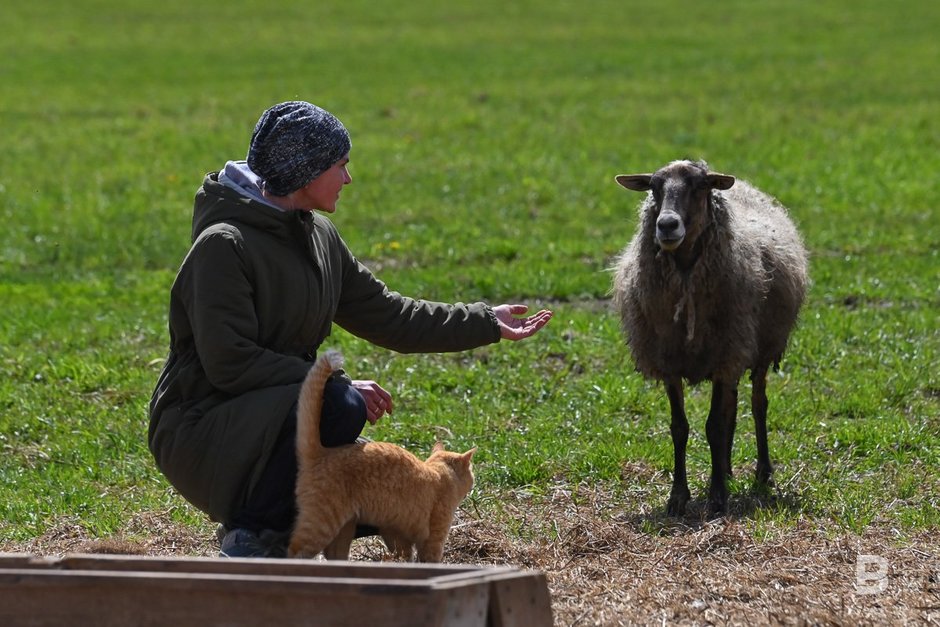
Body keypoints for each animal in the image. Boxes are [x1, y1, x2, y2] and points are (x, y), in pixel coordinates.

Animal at [288, 350, 478, 560]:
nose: (473, 482)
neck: (440, 472)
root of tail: (322, 452)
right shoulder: (433, 539)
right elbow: (428, 559)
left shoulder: (394, 531)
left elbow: (403, 556)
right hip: (321, 523)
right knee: (294, 550)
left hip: (344, 529)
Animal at [608, 159, 808, 516]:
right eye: (654, 187)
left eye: (700, 186)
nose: (666, 225)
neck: (687, 279)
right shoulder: (670, 361)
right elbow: (680, 427)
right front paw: (678, 496)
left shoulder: (725, 355)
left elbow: (714, 425)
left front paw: (717, 497)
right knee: (732, 409)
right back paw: (726, 469)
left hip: (758, 349)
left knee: (757, 404)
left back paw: (762, 472)